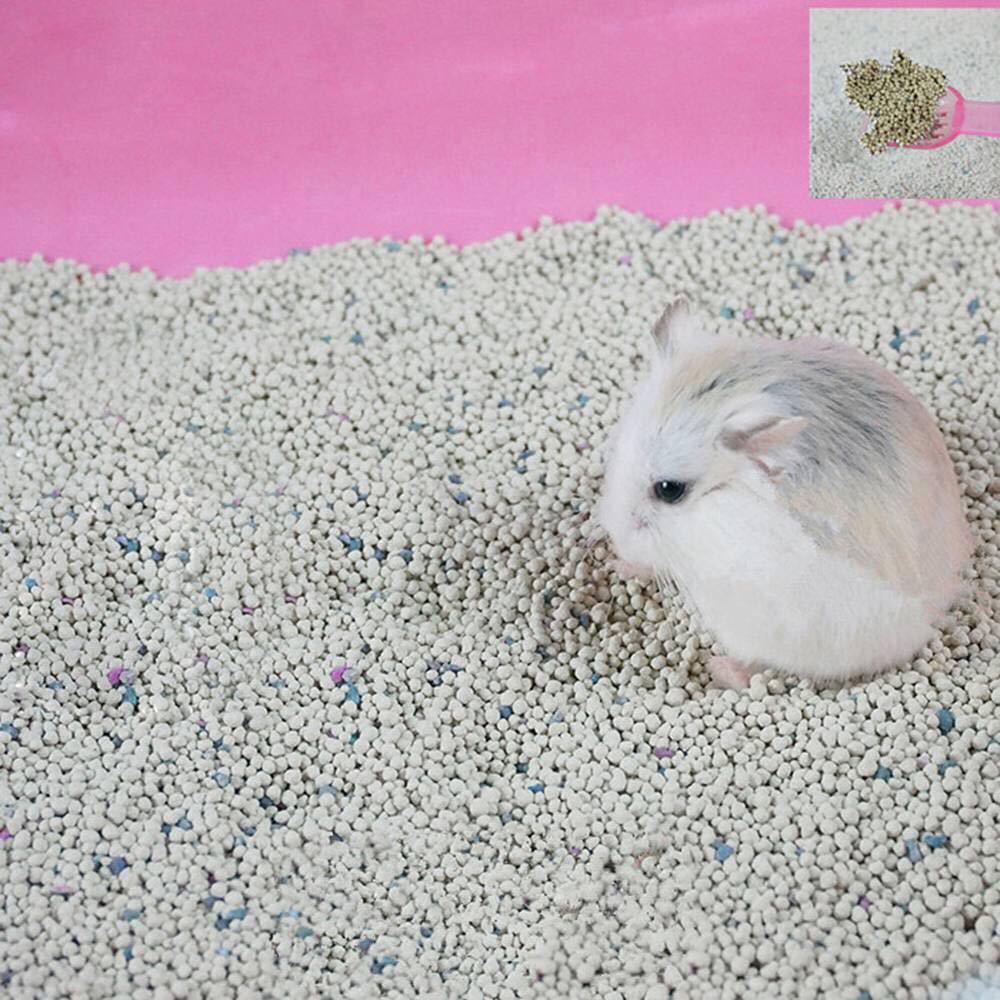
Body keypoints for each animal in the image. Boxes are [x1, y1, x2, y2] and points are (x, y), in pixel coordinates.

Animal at [597, 298, 974, 688]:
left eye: (669, 490)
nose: (614, 535)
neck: (719, 501)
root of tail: (938, 606)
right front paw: (617, 561)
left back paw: (721, 670)